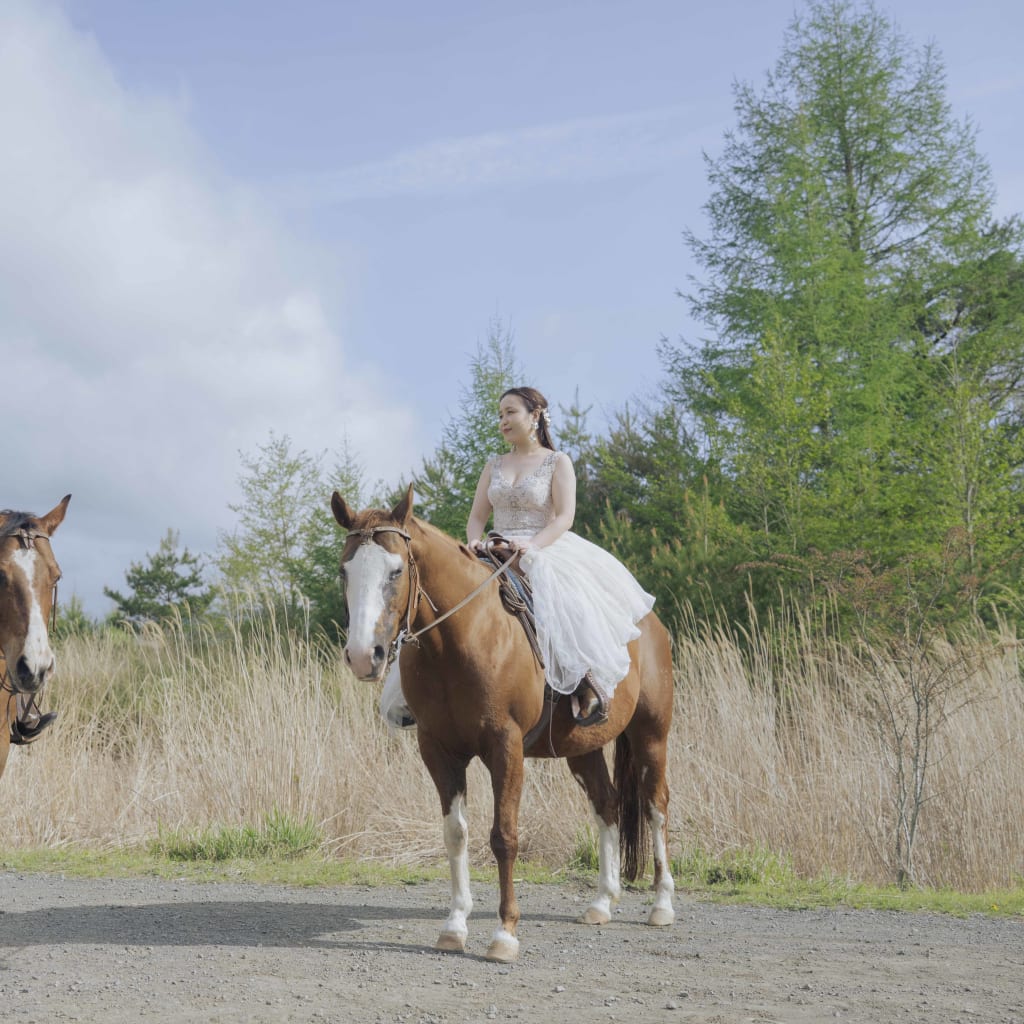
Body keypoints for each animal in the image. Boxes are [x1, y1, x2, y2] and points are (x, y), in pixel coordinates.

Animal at [331, 483, 675, 962]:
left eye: (396, 571)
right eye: (344, 571)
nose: (364, 656)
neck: (460, 639)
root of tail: (648, 623)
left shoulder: (505, 747)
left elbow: (503, 836)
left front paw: (505, 933)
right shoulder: (437, 750)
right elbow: (455, 834)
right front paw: (455, 926)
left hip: (651, 736)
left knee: (655, 806)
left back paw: (662, 904)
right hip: (583, 747)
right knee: (606, 805)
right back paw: (602, 902)